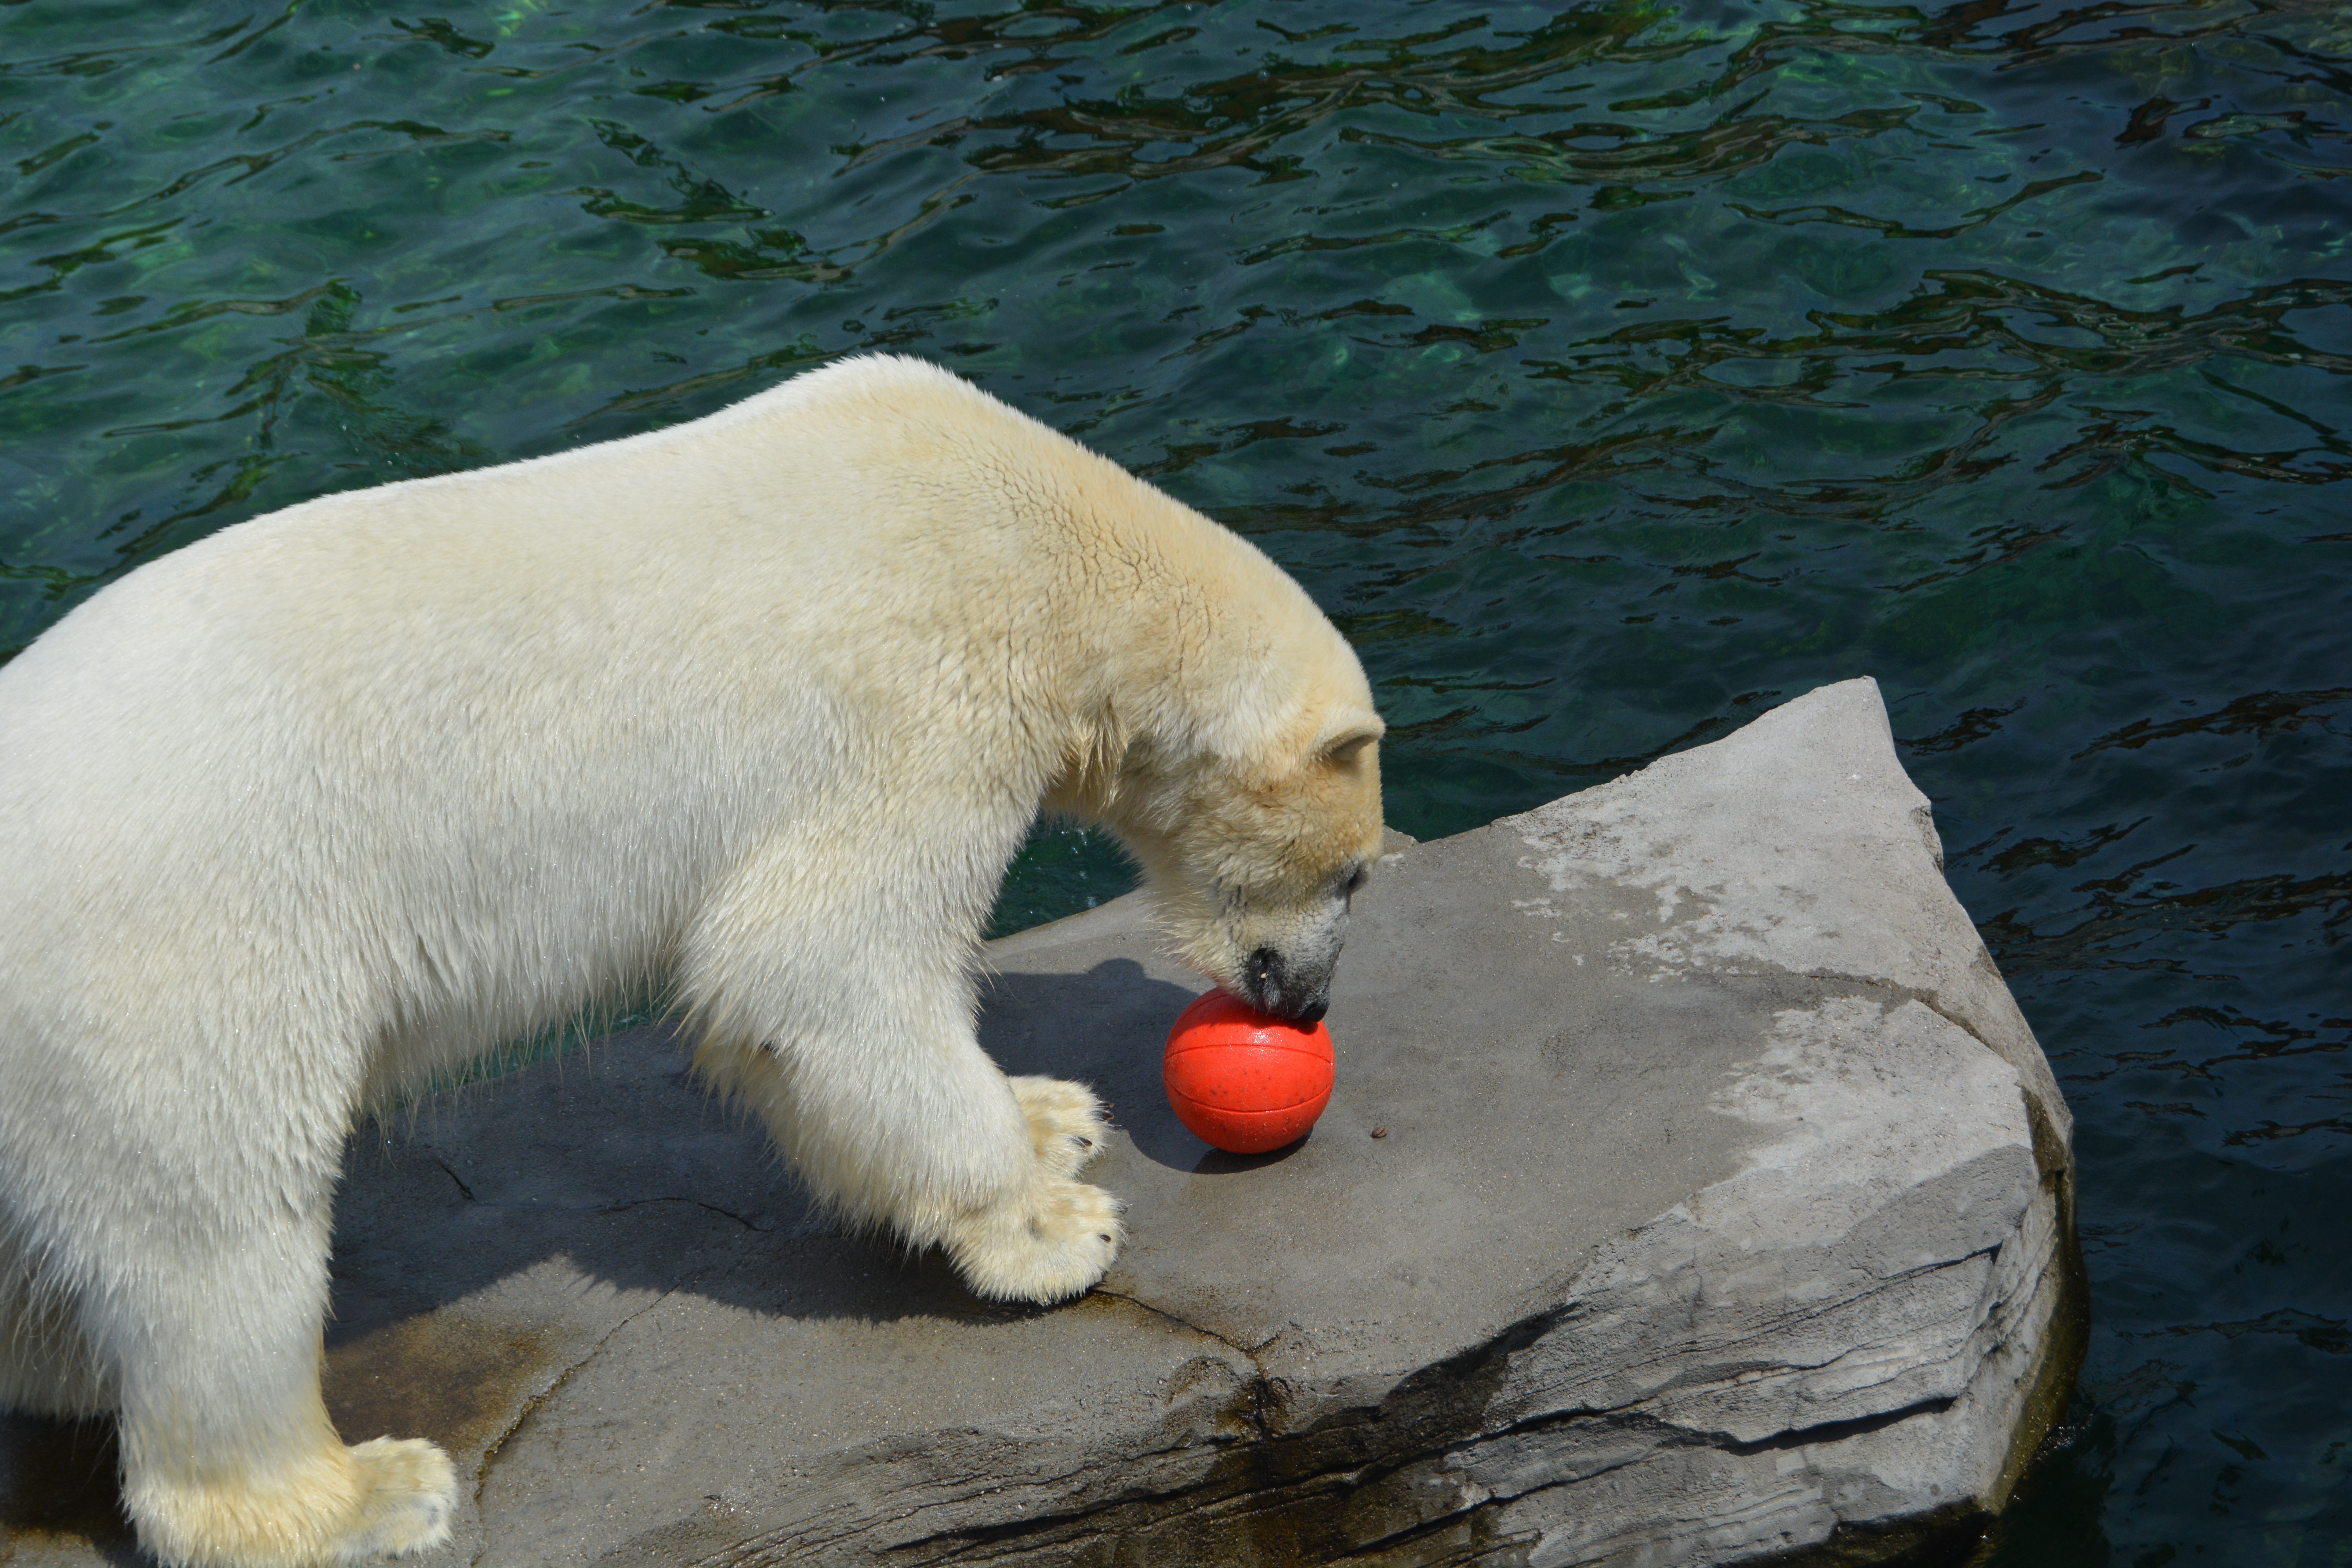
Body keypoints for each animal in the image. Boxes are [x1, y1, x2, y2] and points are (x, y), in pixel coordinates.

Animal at [0, 359, 1374, 1568]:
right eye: (1353, 876)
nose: (1306, 1004)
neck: (1045, 541)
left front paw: (1053, 1114)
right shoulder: (924, 692)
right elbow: (815, 968)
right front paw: (1051, 1225)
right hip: (175, 959)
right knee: (217, 1233)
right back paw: (364, 1496)